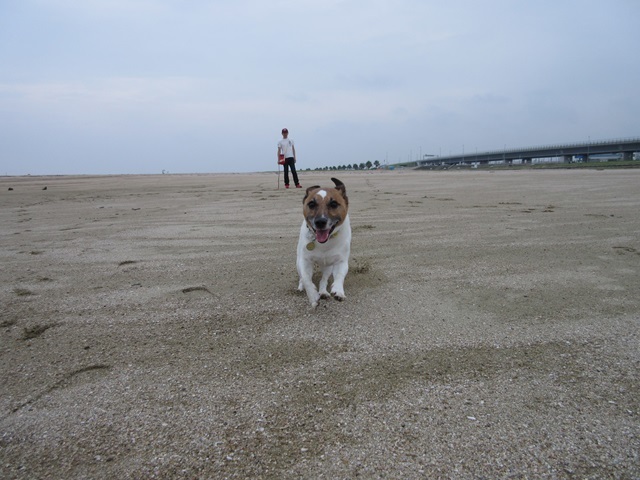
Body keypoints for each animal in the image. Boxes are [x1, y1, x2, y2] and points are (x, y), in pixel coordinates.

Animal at [298, 177, 352, 308]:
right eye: (311, 204)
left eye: (333, 204)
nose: (320, 222)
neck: (324, 243)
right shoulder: (304, 260)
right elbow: (306, 279)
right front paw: (312, 296)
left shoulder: (341, 261)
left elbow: (339, 276)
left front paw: (338, 291)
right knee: (301, 277)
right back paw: (301, 286)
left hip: (328, 267)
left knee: (324, 279)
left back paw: (323, 292)